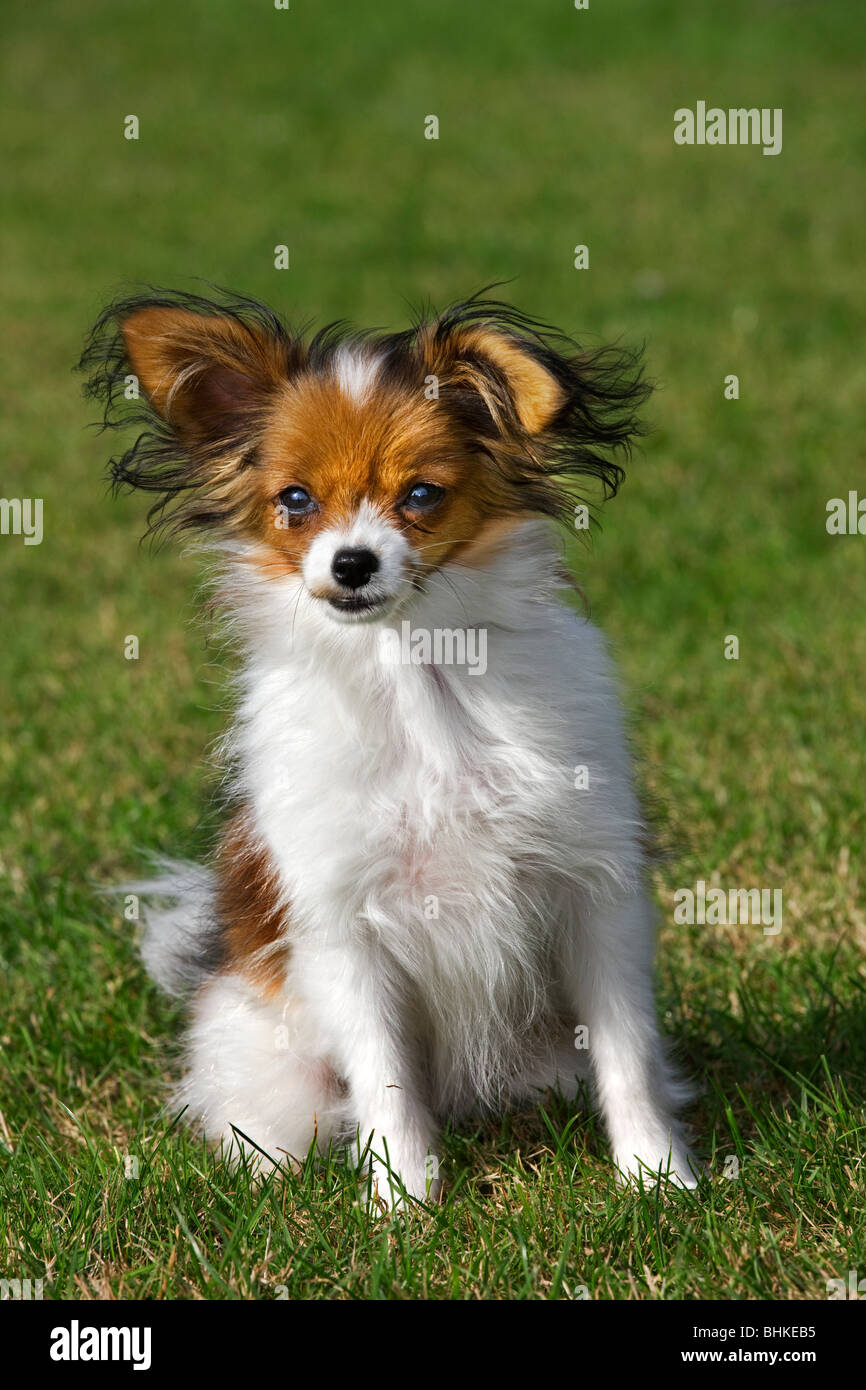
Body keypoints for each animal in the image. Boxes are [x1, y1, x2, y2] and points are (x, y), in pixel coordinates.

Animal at [81, 290, 700, 1206]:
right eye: (295, 500)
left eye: (421, 494)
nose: (351, 563)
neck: (414, 675)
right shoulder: (345, 926)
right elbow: (386, 1077)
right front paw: (406, 1203)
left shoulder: (595, 893)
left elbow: (627, 1054)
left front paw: (659, 1181)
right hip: (278, 1074)